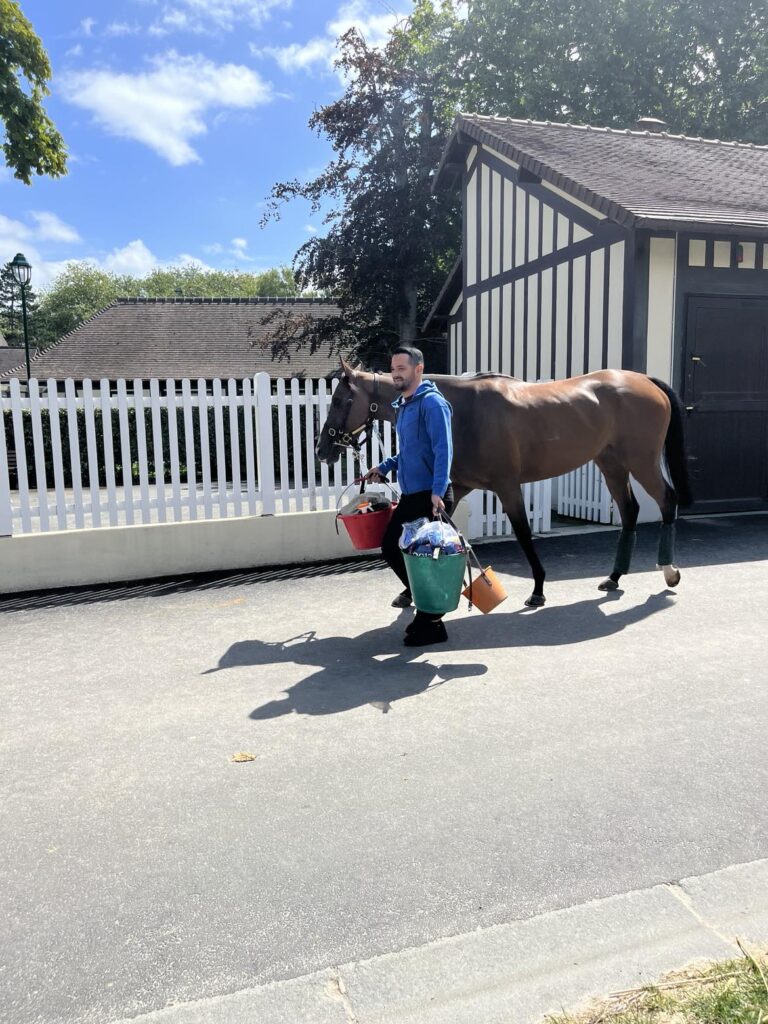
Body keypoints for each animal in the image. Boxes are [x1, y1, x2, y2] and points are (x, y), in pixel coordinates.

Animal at [315, 360, 696, 602]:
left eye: (341, 400)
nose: (322, 450)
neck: (463, 409)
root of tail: (645, 381)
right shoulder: (459, 486)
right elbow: (430, 528)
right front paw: (412, 589)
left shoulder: (507, 486)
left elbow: (523, 534)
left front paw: (538, 589)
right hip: (611, 463)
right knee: (629, 511)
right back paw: (614, 577)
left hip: (641, 461)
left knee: (667, 500)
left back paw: (669, 571)